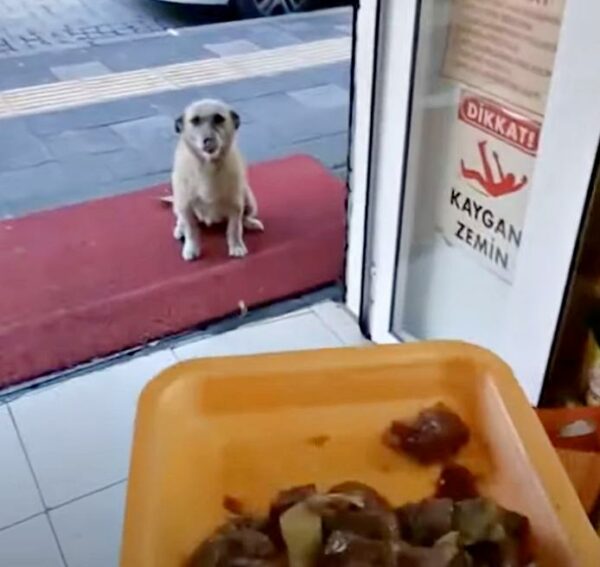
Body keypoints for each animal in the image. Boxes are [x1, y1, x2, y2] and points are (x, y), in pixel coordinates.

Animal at [169, 100, 262, 262]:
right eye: (195, 120)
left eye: (219, 118)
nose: (208, 141)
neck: (208, 167)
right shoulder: (185, 205)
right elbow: (191, 231)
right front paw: (191, 248)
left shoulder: (235, 205)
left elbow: (235, 229)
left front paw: (236, 246)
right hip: (178, 204)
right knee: (180, 220)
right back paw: (180, 229)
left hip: (249, 200)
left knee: (245, 217)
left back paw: (251, 222)